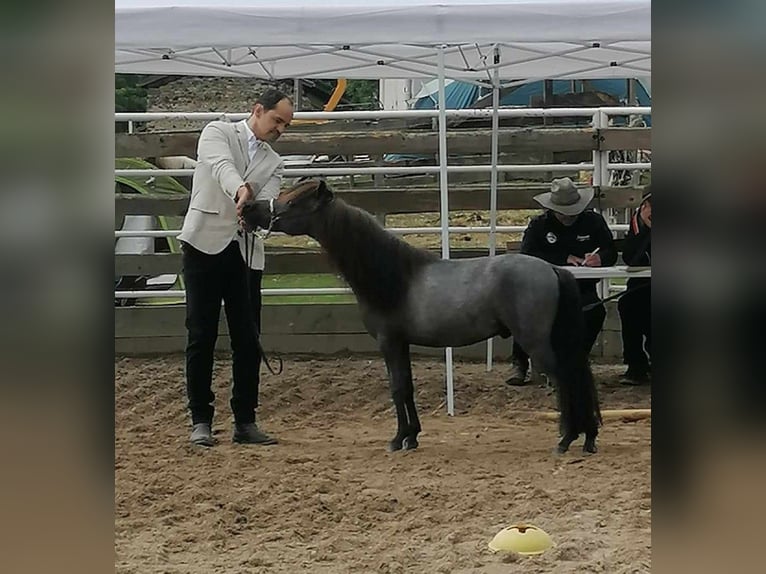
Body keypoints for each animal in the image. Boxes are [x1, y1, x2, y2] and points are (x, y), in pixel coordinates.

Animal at [243, 179, 604, 454]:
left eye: (292, 202)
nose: (249, 210)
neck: (395, 277)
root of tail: (554, 269)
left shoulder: (389, 342)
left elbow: (397, 388)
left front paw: (398, 439)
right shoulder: (401, 343)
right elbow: (407, 387)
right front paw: (412, 436)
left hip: (536, 342)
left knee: (566, 379)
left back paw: (567, 439)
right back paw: (587, 438)